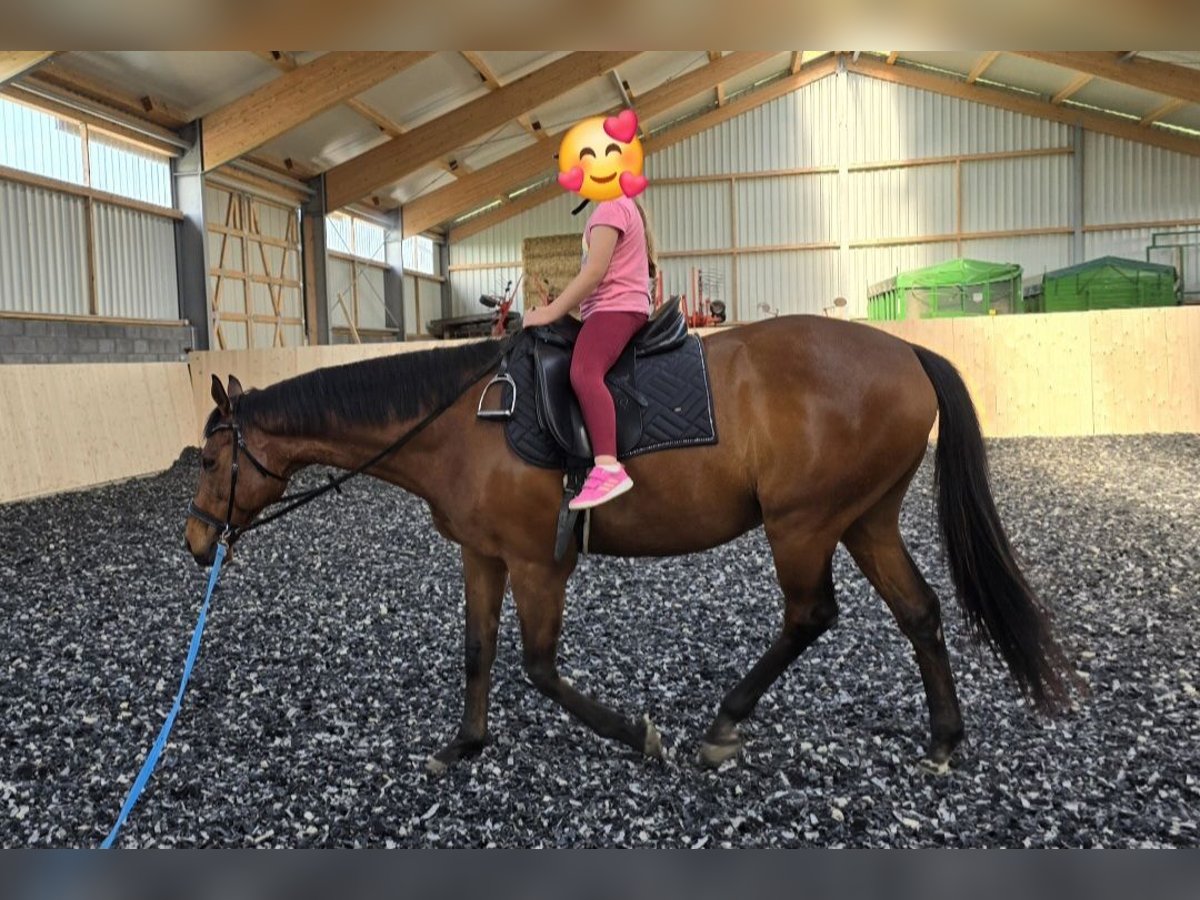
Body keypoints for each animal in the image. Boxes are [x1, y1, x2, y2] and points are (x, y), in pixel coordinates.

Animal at [185, 315, 1074, 774]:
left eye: (212, 459)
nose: (196, 541)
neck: (462, 421)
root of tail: (904, 350)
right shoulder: (482, 554)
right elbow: (476, 652)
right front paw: (464, 744)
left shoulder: (540, 562)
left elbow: (540, 667)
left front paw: (636, 735)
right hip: (865, 517)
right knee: (918, 613)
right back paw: (944, 738)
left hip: (805, 523)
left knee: (811, 615)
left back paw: (725, 722)